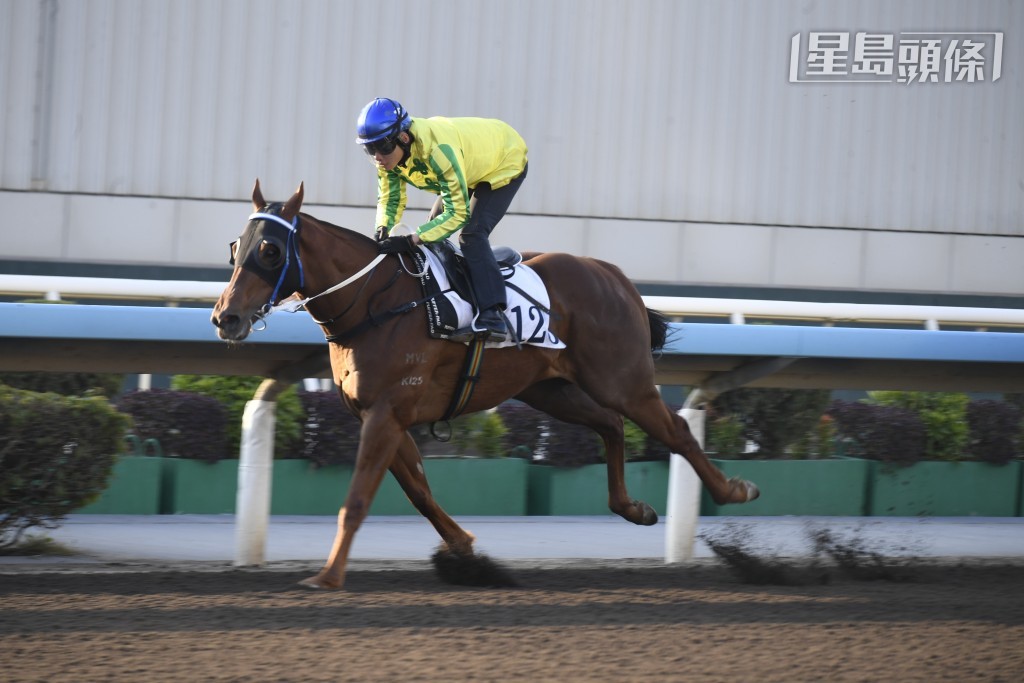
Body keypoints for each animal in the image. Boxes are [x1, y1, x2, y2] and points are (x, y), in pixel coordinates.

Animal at [211, 180, 759, 589]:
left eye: (270, 250)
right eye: (236, 247)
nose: (225, 317)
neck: (374, 301)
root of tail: (616, 275)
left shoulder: (388, 412)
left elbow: (359, 499)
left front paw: (327, 576)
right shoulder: (382, 415)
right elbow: (420, 492)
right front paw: (466, 552)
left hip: (623, 380)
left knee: (675, 432)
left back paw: (735, 489)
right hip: (550, 389)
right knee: (610, 425)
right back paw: (633, 508)